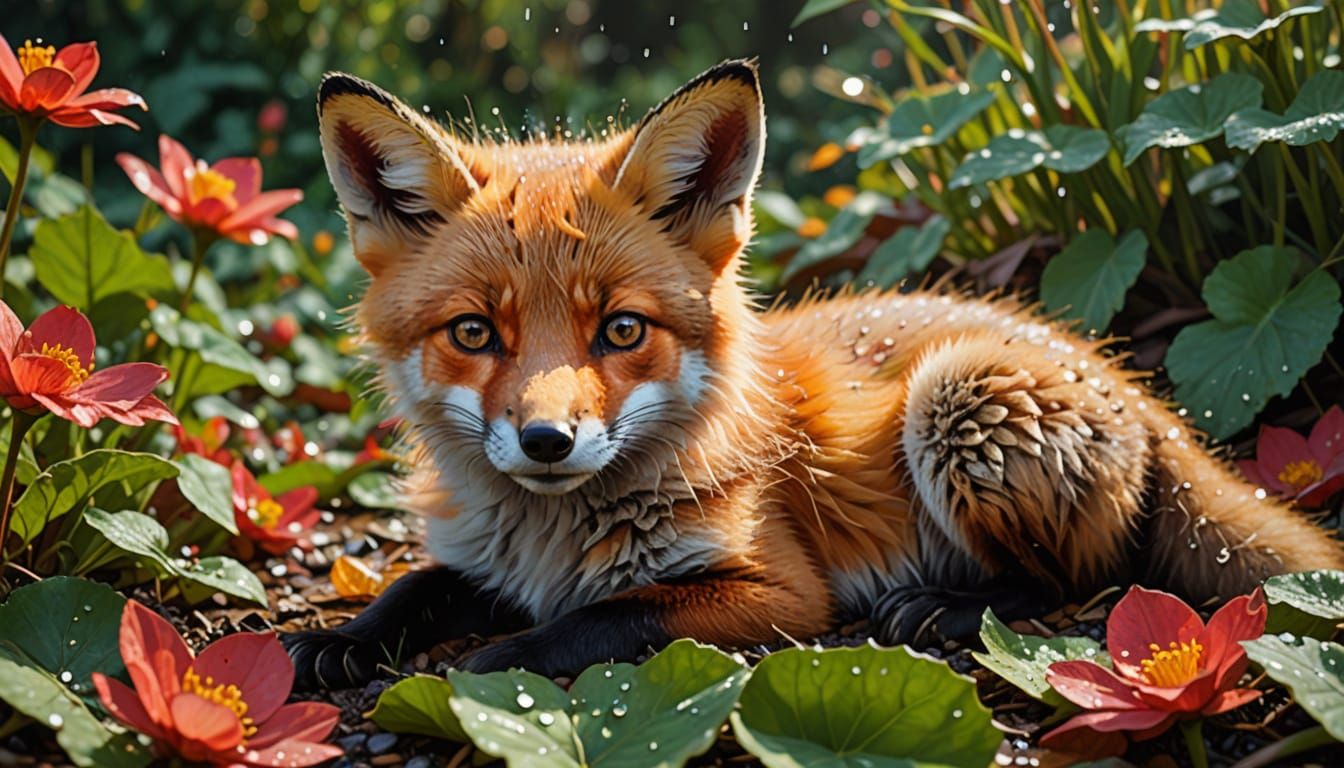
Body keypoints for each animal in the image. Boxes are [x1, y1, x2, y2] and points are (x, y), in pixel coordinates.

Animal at [284, 59, 1344, 689]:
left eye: (621, 330)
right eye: (475, 332)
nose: (548, 441)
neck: (555, 537)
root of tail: (1116, 370)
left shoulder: (781, 596)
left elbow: (614, 616)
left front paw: (505, 661)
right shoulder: (492, 565)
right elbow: (416, 588)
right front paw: (340, 640)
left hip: (962, 404)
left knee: (1087, 579)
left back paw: (949, 607)